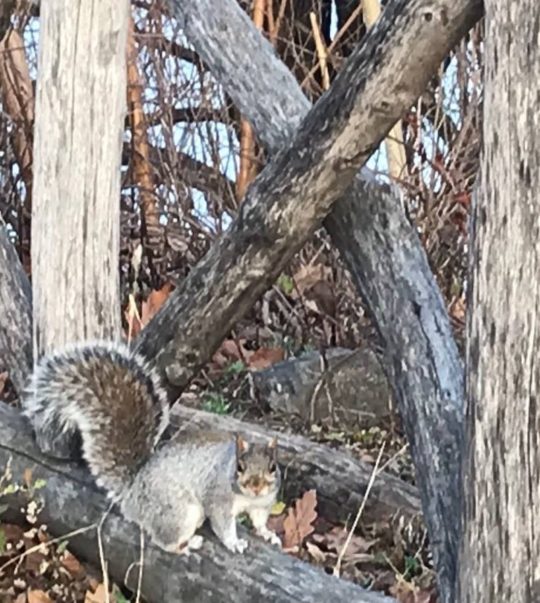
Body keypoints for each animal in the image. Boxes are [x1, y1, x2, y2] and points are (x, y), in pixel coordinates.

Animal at [21, 342, 280, 556]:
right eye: (240, 467)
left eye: (273, 467)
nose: (256, 487)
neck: (248, 497)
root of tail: (132, 493)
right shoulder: (218, 498)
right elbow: (223, 524)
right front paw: (234, 543)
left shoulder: (263, 503)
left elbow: (259, 520)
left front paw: (268, 534)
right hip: (178, 512)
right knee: (165, 541)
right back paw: (188, 545)